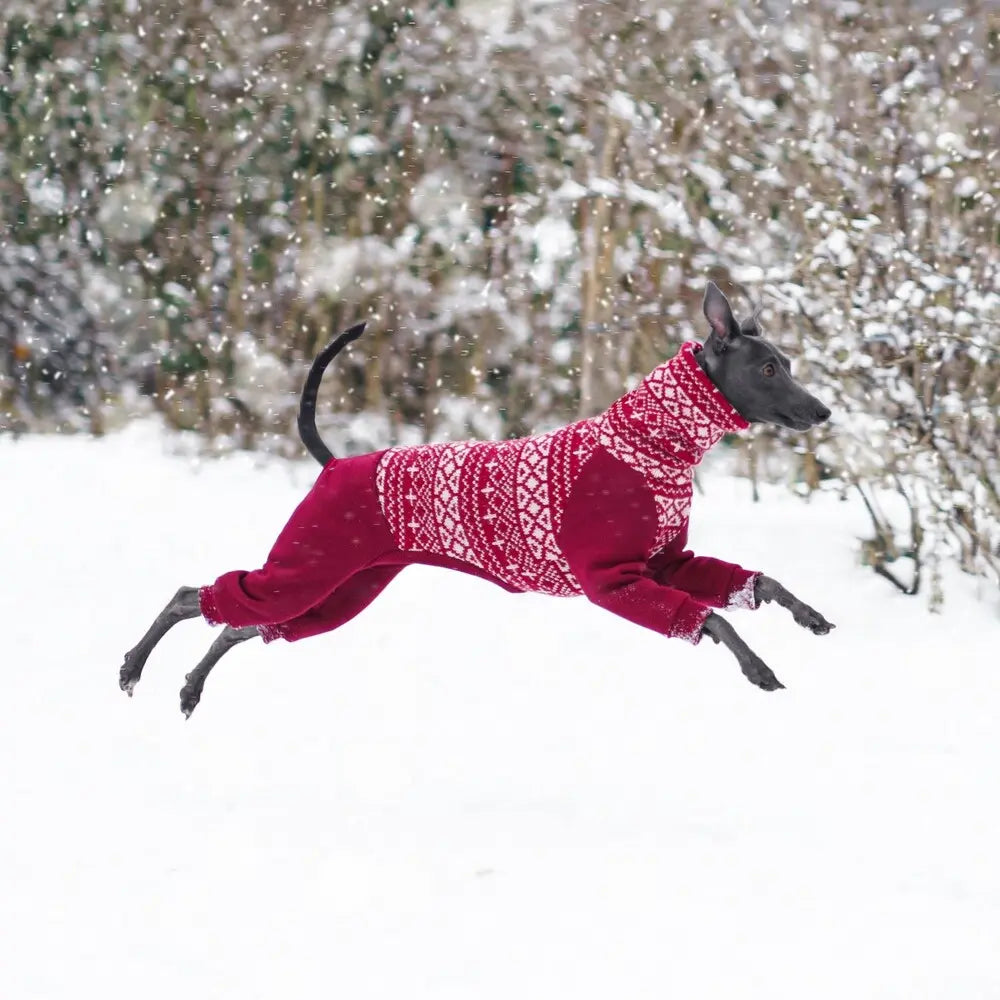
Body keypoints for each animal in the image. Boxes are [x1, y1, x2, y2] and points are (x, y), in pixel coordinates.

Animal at [121, 286, 832, 716]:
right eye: (769, 369)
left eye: (790, 363)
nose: (823, 411)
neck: (648, 446)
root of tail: (337, 463)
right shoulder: (617, 582)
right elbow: (715, 621)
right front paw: (759, 668)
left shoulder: (668, 565)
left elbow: (757, 584)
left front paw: (809, 615)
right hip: (306, 567)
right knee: (194, 597)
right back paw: (133, 666)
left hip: (334, 593)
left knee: (241, 623)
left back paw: (189, 687)